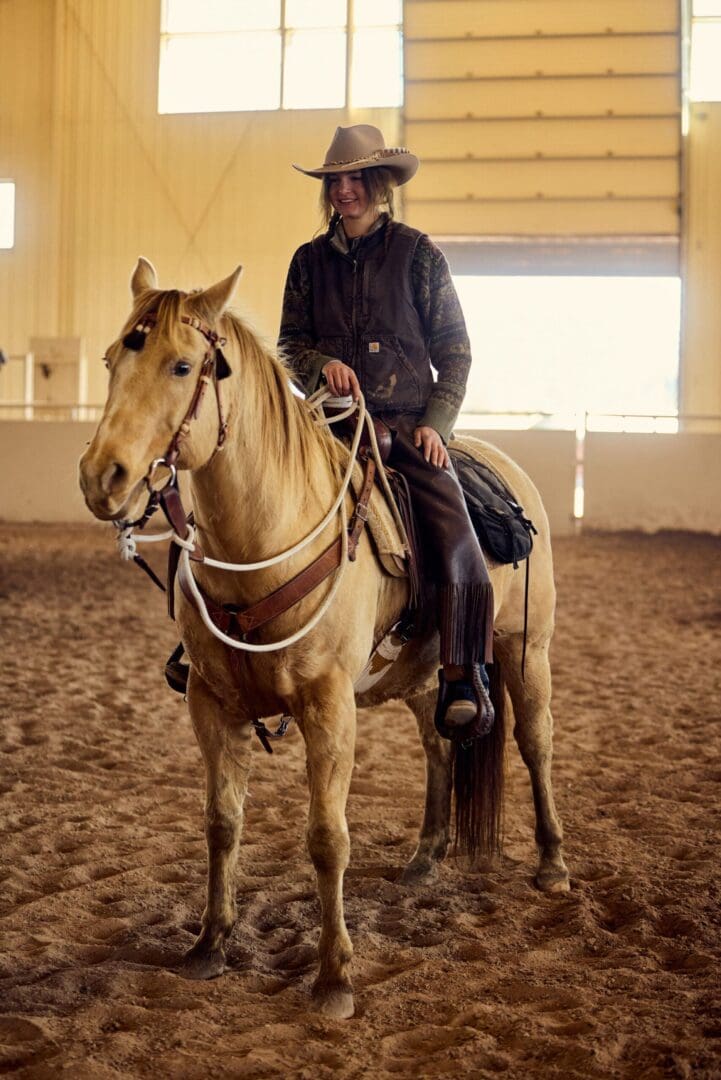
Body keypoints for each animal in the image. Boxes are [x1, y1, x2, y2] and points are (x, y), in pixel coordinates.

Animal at [79, 258, 569, 1020]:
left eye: (182, 365)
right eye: (110, 360)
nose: (103, 477)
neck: (265, 541)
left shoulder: (328, 707)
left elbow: (326, 837)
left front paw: (335, 976)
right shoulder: (210, 705)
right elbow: (221, 822)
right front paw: (208, 944)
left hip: (527, 652)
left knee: (534, 742)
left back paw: (551, 863)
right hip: (424, 675)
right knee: (439, 746)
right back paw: (425, 858)